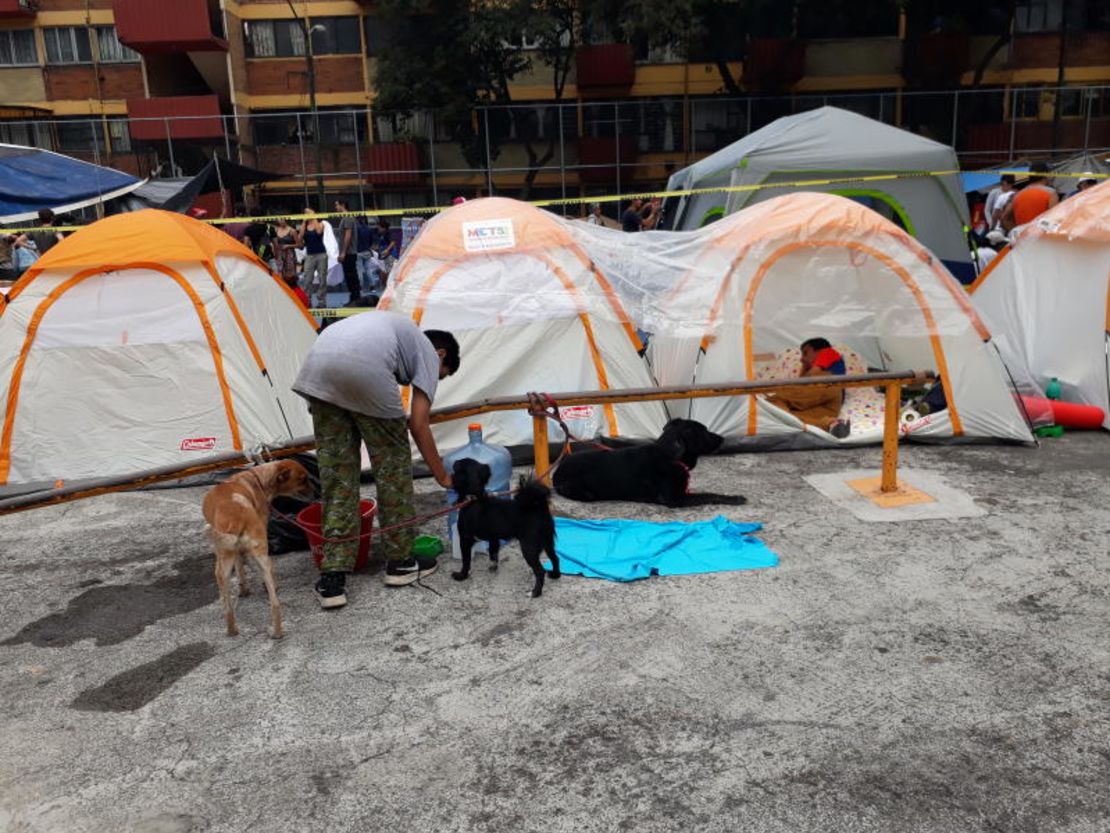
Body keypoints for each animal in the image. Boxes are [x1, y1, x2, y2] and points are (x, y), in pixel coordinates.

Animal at [203, 459, 313, 644]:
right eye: (303, 479)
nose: (317, 493)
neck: (257, 478)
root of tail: (236, 518)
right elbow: (241, 566)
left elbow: (240, 568)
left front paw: (244, 589)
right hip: (253, 560)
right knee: (271, 602)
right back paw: (273, 632)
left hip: (227, 562)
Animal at [448, 457, 559, 599]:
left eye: (456, 468)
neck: (474, 497)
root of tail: (539, 507)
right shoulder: (493, 538)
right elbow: (493, 553)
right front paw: (493, 567)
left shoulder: (465, 540)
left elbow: (466, 561)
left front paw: (461, 576)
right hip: (547, 542)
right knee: (555, 558)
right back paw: (555, 575)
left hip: (529, 548)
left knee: (540, 571)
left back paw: (535, 592)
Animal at [552, 417, 745, 508]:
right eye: (704, 431)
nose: (722, 438)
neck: (670, 455)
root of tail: (557, 471)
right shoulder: (676, 499)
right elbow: (709, 495)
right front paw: (734, 498)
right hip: (585, 493)